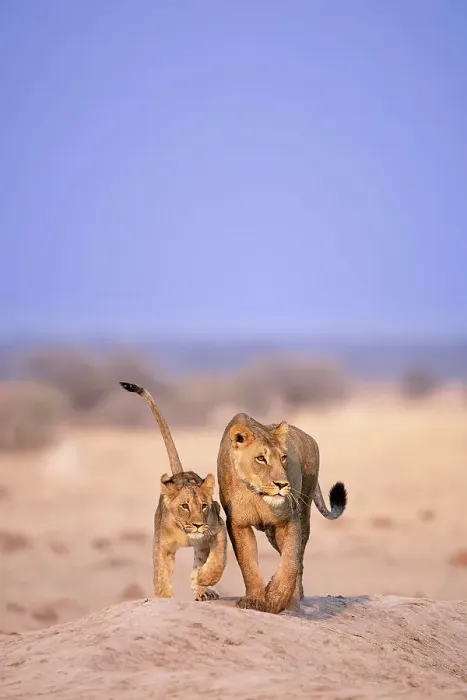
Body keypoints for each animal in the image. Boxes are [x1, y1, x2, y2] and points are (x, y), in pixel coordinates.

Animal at [120, 382, 227, 602]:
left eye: (204, 506)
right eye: (184, 506)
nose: (198, 525)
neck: (185, 532)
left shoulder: (218, 527)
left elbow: (218, 559)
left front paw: (205, 578)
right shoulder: (162, 546)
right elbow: (161, 575)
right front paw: (165, 596)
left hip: (202, 544)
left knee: (199, 561)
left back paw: (201, 588)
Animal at [217, 412, 347, 614]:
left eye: (283, 457)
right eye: (260, 458)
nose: (282, 484)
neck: (257, 495)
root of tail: (307, 437)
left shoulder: (289, 519)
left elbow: (291, 561)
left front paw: (277, 598)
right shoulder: (238, 524)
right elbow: (248, 563)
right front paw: (254, 599)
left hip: (303, 512)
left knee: (299, 559)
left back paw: (295, 598)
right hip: (271, 532)